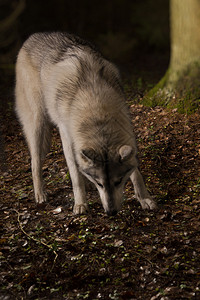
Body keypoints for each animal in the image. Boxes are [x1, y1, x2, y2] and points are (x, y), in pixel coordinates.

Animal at [15, 32, 156, 216]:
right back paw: (40, 194)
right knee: (35, 162)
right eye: (101, 184)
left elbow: (136, 173)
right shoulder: (67, 138)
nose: (111, 212)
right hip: (38, 124)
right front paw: (80, 203)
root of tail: (33, 36)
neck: (96, 109)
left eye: (118, 182)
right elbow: (75, 174)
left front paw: (144, 198)